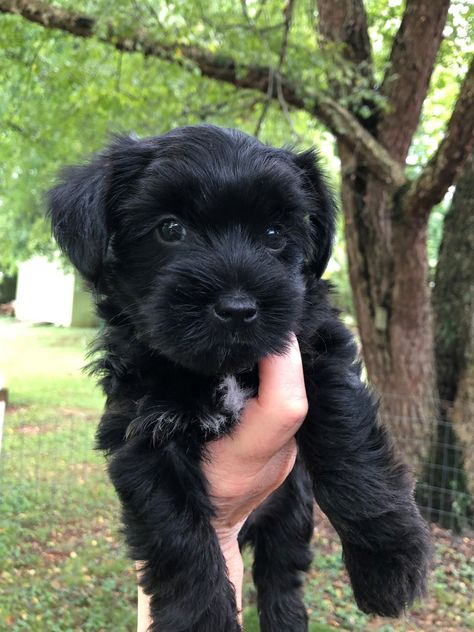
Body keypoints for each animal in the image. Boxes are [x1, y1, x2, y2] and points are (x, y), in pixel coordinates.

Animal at [48, 124, 430, 632]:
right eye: (170, 229)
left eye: (274, 234)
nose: (237, 308)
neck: (221, 370)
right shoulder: (139, 433)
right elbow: (178, 534)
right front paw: (202, 619)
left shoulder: (319, 353)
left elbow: (349, 447)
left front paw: (388, 561)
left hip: (291, 514)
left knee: (282, 578)